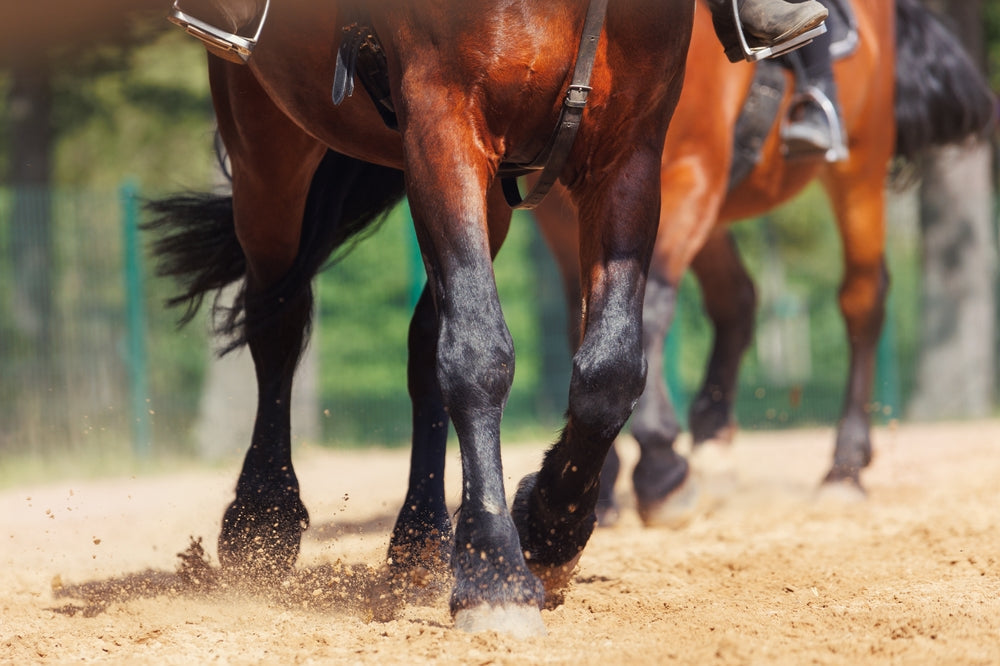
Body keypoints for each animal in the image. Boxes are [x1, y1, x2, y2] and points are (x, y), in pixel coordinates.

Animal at [146, 0, 694, 636]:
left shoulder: (629, 150)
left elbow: (611, 371)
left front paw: (547, 531)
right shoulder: (443, 120)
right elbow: (479, 354)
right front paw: (494, 574)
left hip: (489, 192)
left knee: (424, 341)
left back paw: (419, 541)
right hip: (267, 147)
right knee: (278, 320)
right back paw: (263, 519)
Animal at [533, 0, 996, 526]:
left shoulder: (683, 173)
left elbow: (646, 313)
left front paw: (660, 470)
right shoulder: (560, 209)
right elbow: (586, 321)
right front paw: (590, 485)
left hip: (858, 168)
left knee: (863, 300)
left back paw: (844, 470)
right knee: (737, 299)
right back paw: (714, 443)